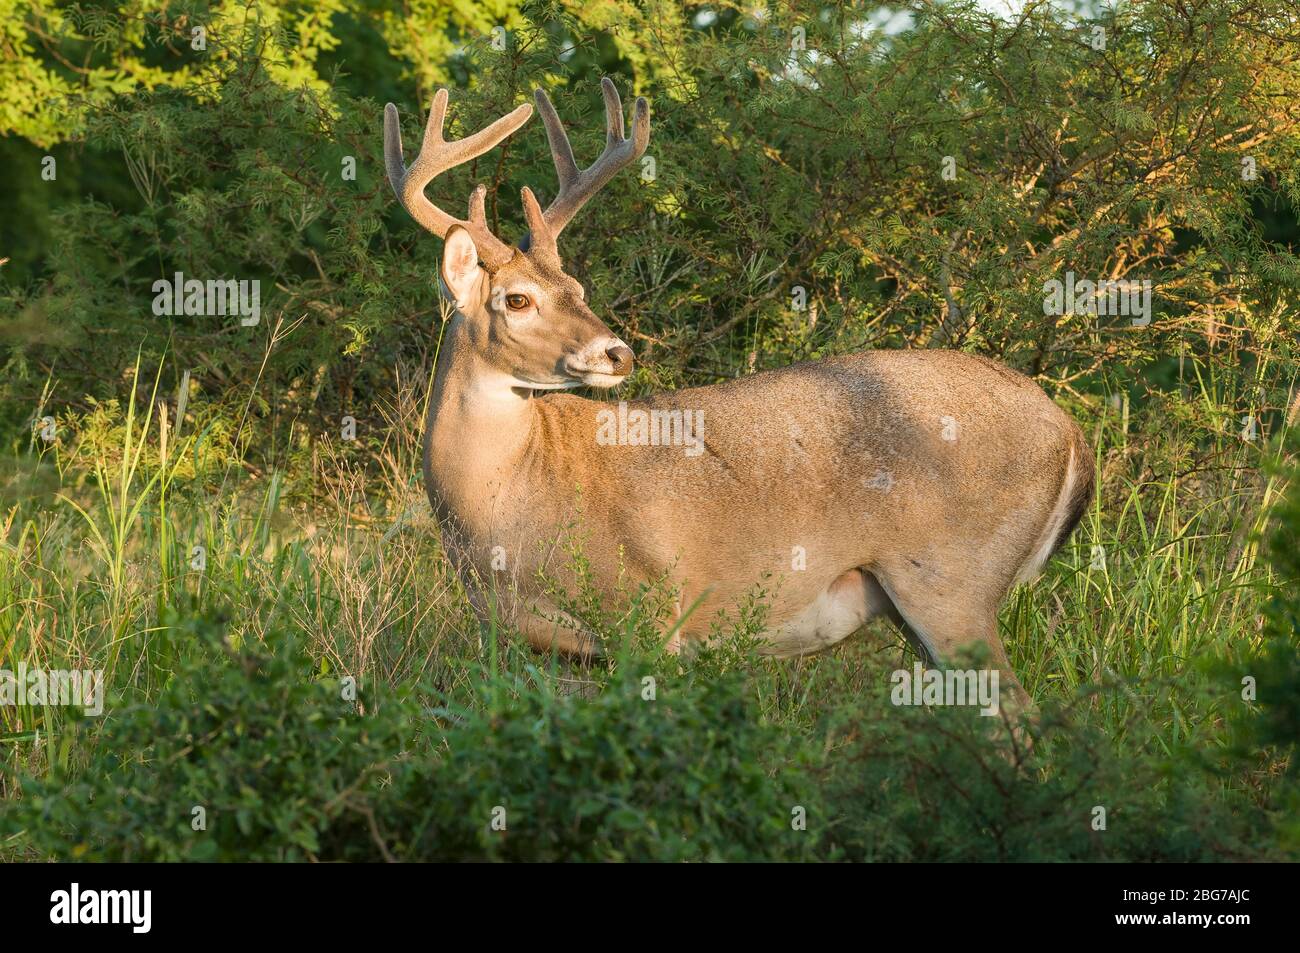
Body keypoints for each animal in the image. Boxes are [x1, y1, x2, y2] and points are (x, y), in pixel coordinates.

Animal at [382, 76, 1097, 712]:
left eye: (578, 289)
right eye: (518, 299)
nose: (618, 353)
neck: (511, 508)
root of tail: (1072, 435)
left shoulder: (651, 609)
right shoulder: (530, 644)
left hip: (952, 582)